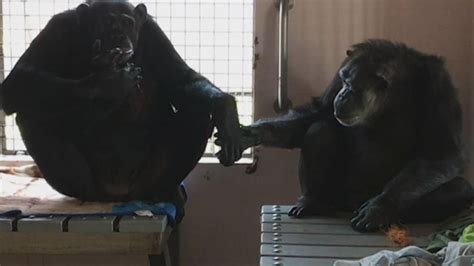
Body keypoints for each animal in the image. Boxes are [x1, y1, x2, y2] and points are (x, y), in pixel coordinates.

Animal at [0, 0, 244, 216]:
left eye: (127, 23)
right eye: (108, 22)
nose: (118, 35)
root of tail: (120, 195)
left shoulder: (153, 32)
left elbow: (179, 78)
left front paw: (227, 112)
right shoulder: (56, 29)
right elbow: (16, 81)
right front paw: (105, 82)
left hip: (145, 181)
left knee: (198, 114)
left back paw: (163, 193)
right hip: (87, 185)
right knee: (30, 116)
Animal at [218, 40, 474, 233]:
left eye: (354, 87)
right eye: (343, 80)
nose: (341, 95)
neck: (391, 97)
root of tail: (350, 203)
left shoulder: (440, 88)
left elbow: (442, 155)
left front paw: (380, 206)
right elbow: (315, 114)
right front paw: (246, 136)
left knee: (460, 188)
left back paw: (396, 214)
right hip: (339, 194)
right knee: (320, 130)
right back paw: (312, 201)